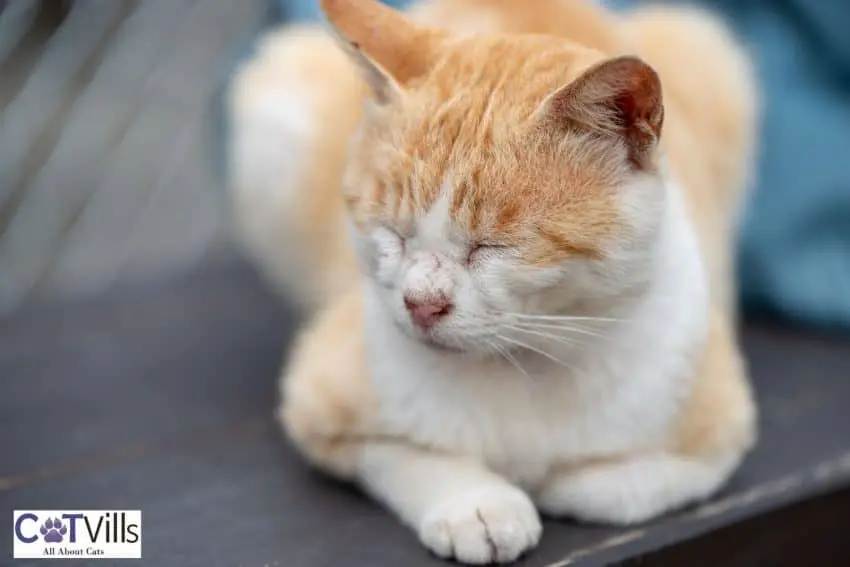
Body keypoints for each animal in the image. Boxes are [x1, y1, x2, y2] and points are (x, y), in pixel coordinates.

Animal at [225, 0, 756, 560]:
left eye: (491, 247)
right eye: (394, 234)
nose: (421, 303)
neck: (520, 365)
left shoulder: (719, 432)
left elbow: (618, 488)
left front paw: (556, 481)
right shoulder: (318, 403)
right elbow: (405, 454)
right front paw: (479, 506)